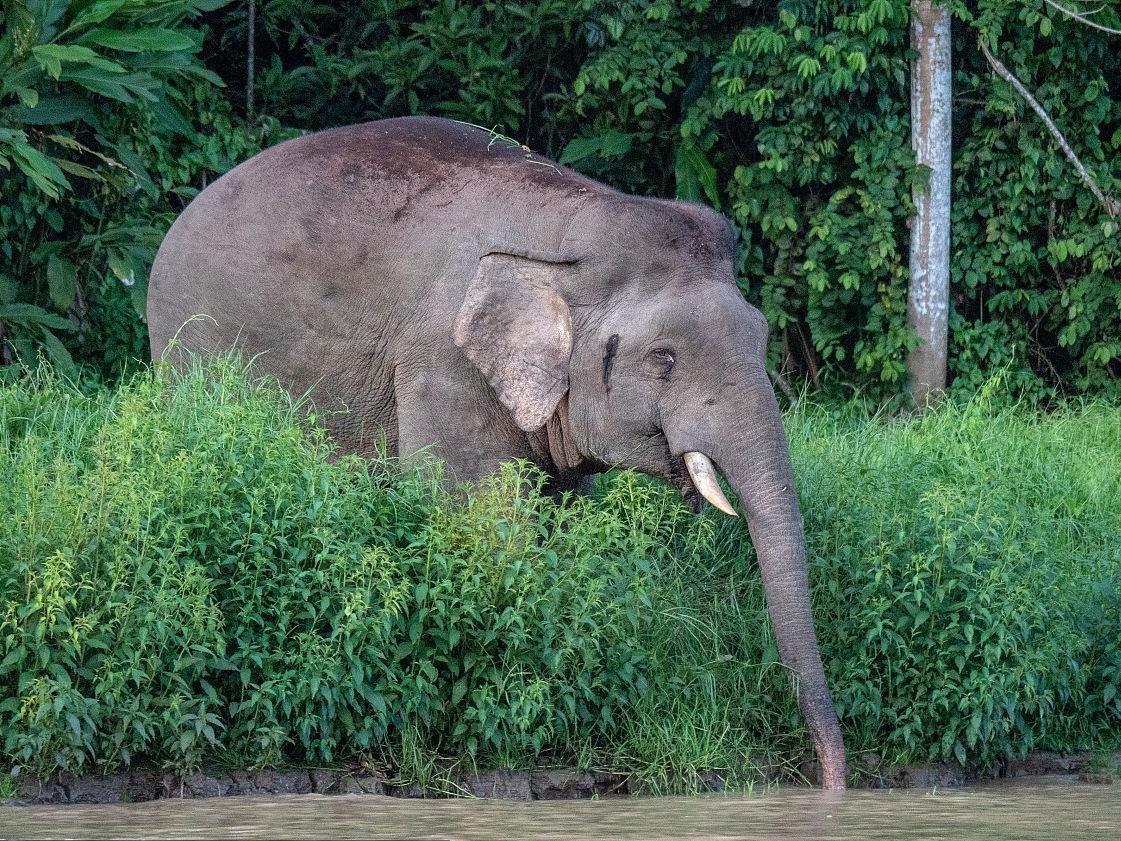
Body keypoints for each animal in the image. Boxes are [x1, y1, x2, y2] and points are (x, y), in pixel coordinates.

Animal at [147, 116, 847, 789]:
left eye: (761, 338)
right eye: (664, 359)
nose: (831, 781)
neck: (572, 224)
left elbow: (559, 515)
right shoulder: (442, 362)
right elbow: (477, 513)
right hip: (193, 355)